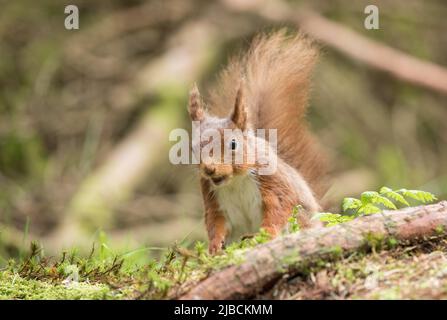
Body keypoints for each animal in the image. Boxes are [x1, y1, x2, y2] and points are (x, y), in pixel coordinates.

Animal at [187, 30, 328, 255]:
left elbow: (280, 205)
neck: (235, 180)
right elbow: (215, 222)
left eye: (233, 144)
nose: (209, 169)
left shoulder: (273, 181)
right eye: (192, 149)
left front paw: (267, 234)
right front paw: (214, 246)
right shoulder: (212, 197)